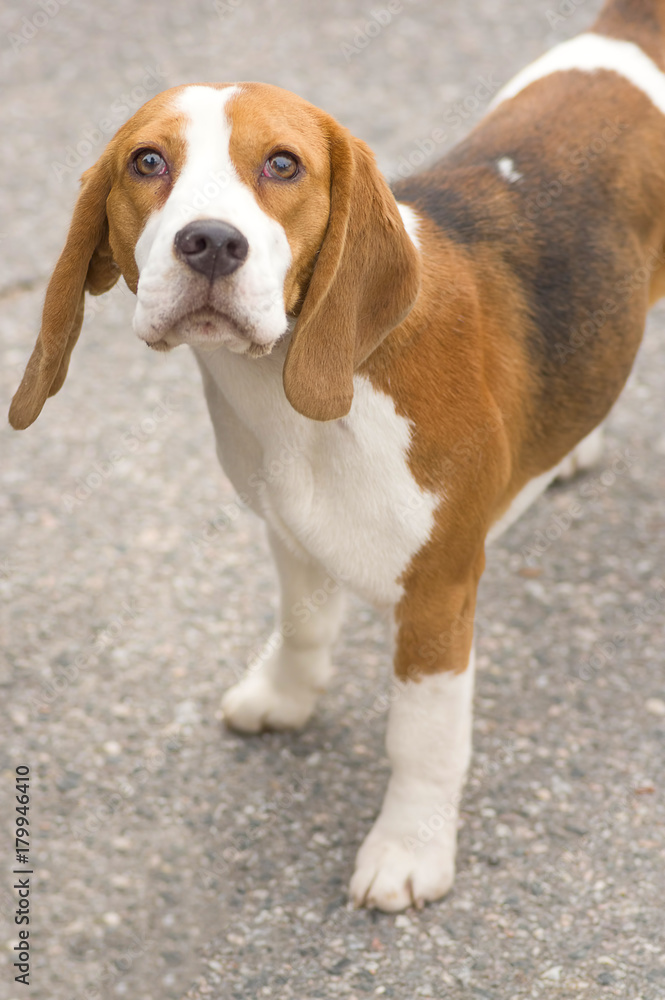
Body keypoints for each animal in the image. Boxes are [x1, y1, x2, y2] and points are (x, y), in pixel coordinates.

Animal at [7, 0, 664, 912]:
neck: (300, 391)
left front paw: (407, 849)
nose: (209, 243)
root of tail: (627, 36)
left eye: (283, 164)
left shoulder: (438, 595)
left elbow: (421, 739)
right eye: (147, 161)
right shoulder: (288, 529)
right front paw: (285, 696)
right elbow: (302, 625)